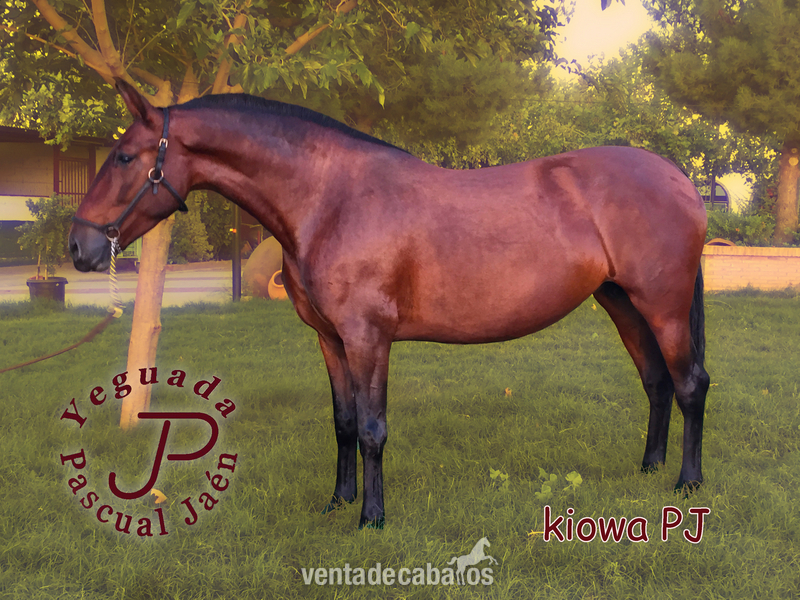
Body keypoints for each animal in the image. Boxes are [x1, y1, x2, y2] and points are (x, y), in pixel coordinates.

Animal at [69, 79, 710, 529]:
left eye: (124, 157)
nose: (78, 246)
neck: (331, 201)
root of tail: (679, 177)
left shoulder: (368, 337)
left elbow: (374, 428)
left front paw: (371, 518)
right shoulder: (330, 339)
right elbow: (344, 423)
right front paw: (338, 502)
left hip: (664, 307)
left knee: (689, 384)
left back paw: (687, 482)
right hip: (623, 303)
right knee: (656, 380)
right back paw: (649, 467)